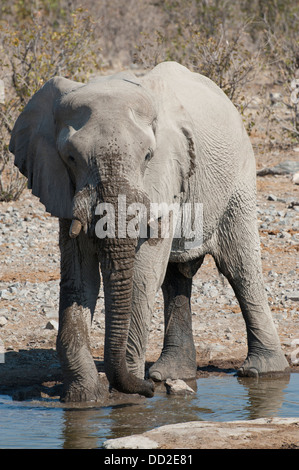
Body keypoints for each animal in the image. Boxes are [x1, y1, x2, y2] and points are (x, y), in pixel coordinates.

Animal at [9, 60, 290, 402]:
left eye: (147, 156)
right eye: (71, 158)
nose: (146, 389)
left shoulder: (165, 175)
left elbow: (142, 273)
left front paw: (128, 398)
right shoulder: (62, 187)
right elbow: (79, 276)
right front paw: (83, 399)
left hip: (238, 179)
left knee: (240, 267)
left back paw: (262, 372)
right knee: (177, 275)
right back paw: (168, 375)